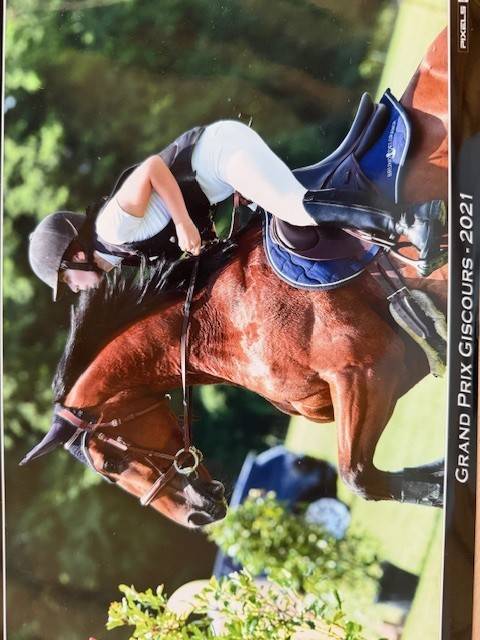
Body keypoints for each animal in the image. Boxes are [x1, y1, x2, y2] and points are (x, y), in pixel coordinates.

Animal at [23, 29, 448, 529]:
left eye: (109, 465)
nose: (198, 517)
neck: (223, 329)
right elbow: (376, 479)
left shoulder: (364, 373)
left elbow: (360, 477)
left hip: (232, 151)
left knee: (302, 202)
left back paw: (420, 232)